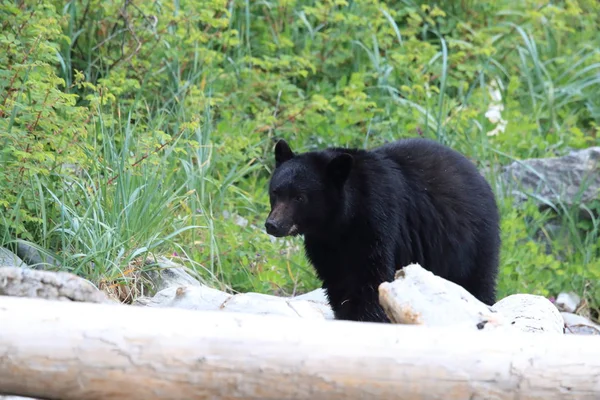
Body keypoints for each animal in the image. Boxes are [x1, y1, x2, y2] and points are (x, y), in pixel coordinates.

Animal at [264, 138, 500, 322]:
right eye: (275, 192)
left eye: (299, 197)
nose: (272, 225)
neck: (341, 222)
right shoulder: (324, 243)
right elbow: (336, 279)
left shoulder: (377, 219)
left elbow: (370, 274)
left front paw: (368, 317)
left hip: (471, 241)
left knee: (477, 280)